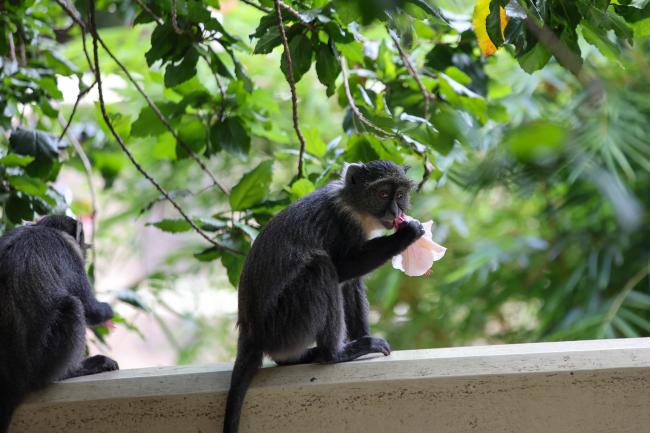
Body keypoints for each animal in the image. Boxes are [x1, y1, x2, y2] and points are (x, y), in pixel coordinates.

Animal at [0, 215, 119, 433]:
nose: (85, 250)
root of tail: (11, 382)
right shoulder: (70, 255)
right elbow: (90, 308)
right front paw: (107, 310)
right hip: (40, 363)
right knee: (72, 305)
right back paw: (73, 371)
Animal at [223, 160, 425, 433]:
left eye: (401, 195)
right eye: (383, 194)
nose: (396, 211)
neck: (353, 206)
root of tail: (251, 333)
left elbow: (351, 284)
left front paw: (363, 335)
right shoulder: (341, 226)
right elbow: (341, 268)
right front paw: (406, 234)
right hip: (284, 324)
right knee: (322, 266)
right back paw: (334, 354)